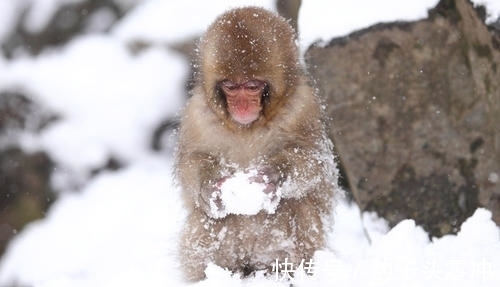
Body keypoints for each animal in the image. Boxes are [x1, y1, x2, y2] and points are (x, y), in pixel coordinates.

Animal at [176, 6, 340, 282]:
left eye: (252, 86)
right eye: (231, 86)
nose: (242, 106)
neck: (246, 127)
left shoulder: (303, 108)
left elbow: (315, 161)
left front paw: (273, 175)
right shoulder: (196, 115)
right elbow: (192, 161)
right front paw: (209, 187)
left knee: (298, 206)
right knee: (206, 220)